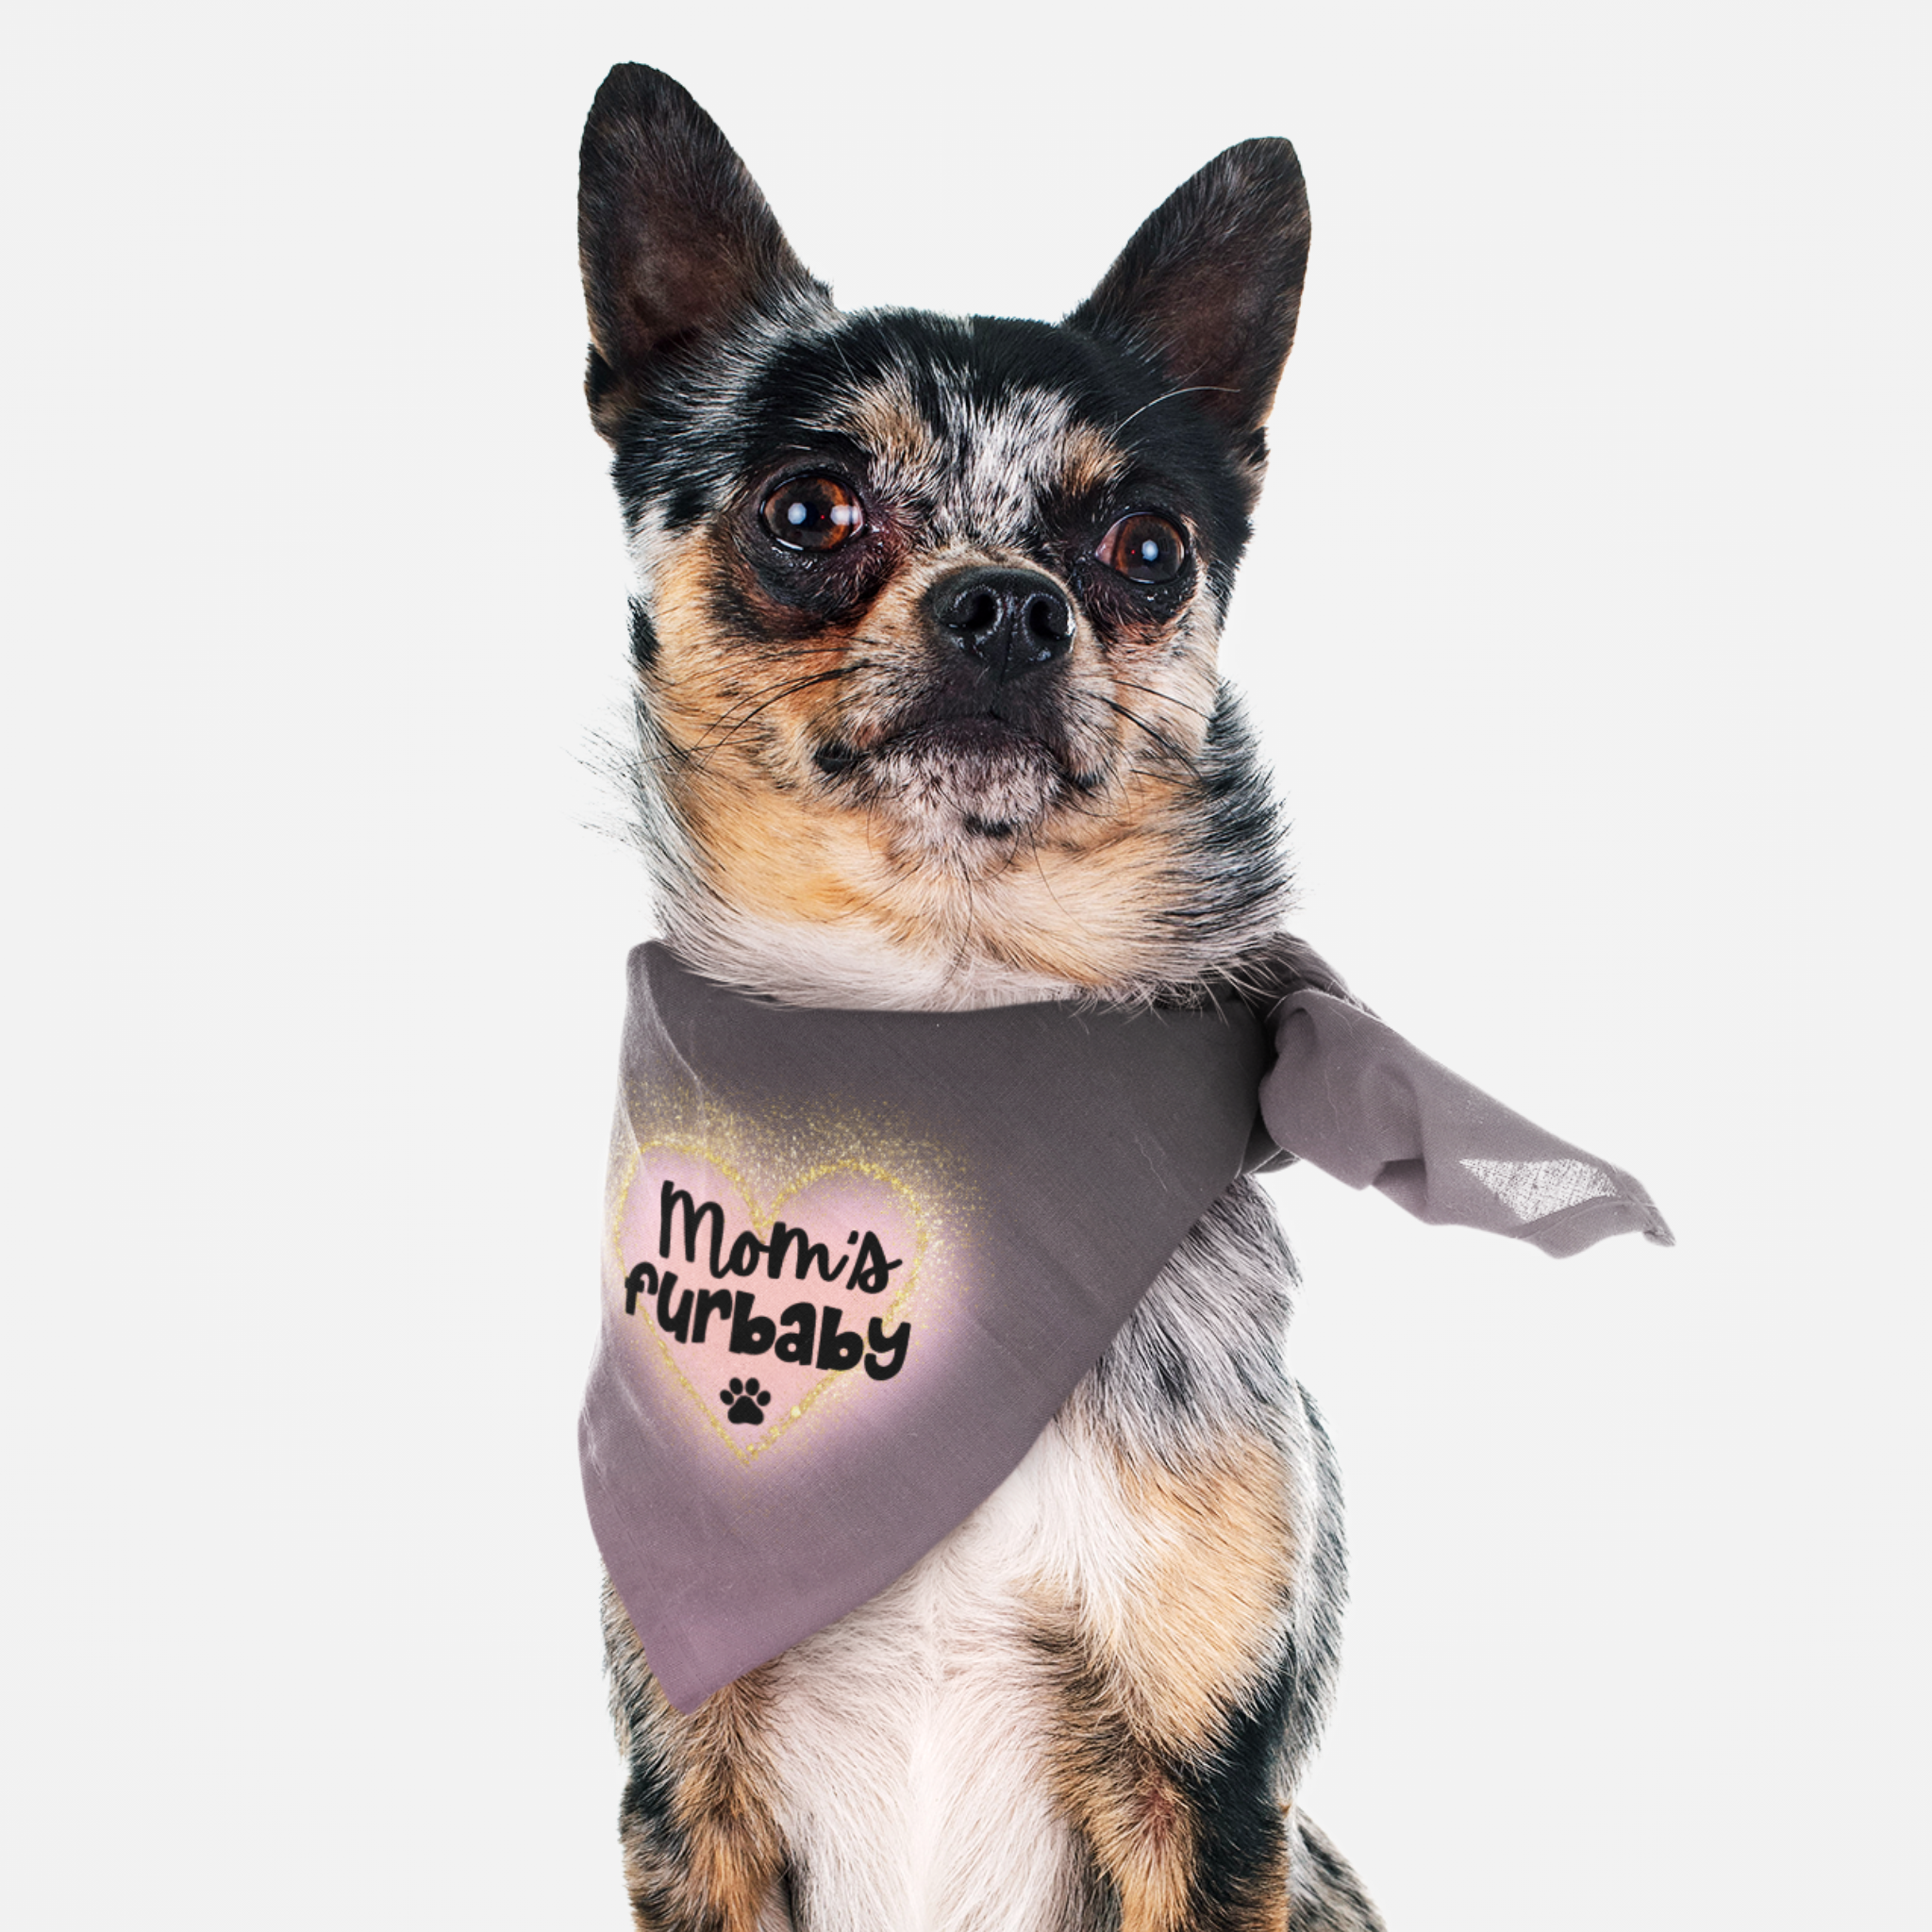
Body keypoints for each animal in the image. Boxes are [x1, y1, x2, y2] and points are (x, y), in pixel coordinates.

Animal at [575, 60, 1391, 1932]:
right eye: (810, 511)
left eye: (1146, 546)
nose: (1009, 604)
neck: (946, 1044)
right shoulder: (685, 1790)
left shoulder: (1211, 1793)